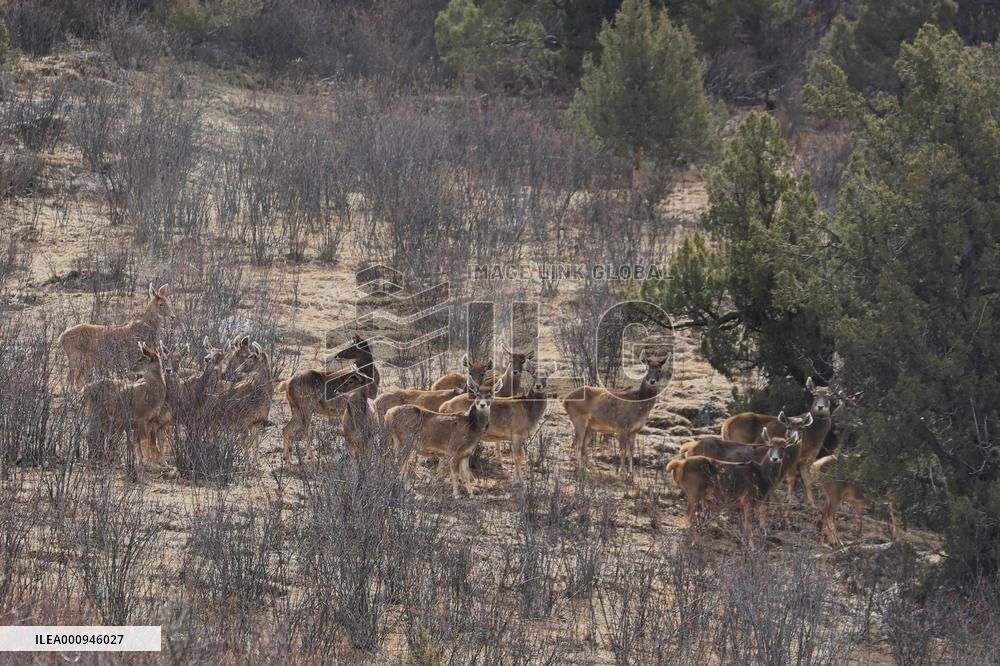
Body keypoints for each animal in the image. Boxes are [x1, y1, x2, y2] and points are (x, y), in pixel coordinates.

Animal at [667, 430, 797, 545]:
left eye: (783, 447)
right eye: (770, 446)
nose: (775, 458)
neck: (762, 476)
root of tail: (677, 464)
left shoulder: (753, 502)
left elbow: (754, 524)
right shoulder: (747, 498)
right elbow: (749, 526)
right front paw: (753, 547)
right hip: (694, 490)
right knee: (689, 514)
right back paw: (697, 541)